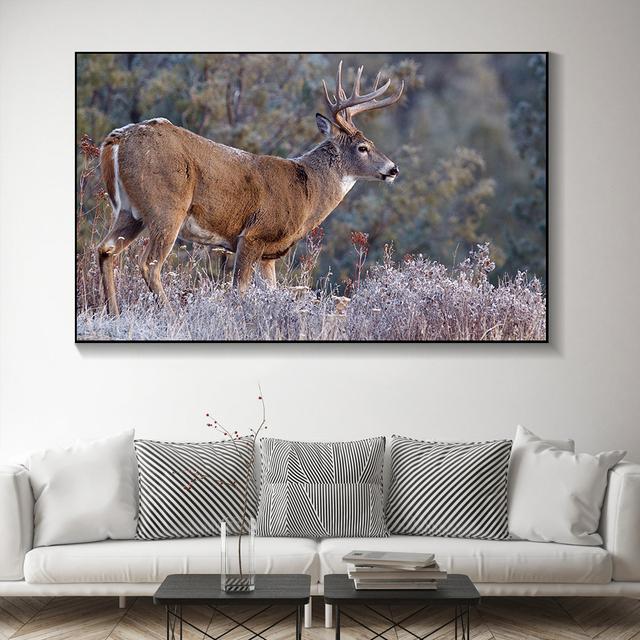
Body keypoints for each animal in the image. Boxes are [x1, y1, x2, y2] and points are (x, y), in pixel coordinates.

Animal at [98, 61, 404, 314]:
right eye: (362, 147)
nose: (393, 169)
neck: (307, 192)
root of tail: (117, 140)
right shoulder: (253, 235)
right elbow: (239, 291)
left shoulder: (269, 254)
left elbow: (271, 290)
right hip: (167, 206)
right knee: (149, 264)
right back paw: (173, 318)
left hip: (129, 211)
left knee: (106, 249)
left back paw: (114, 314)